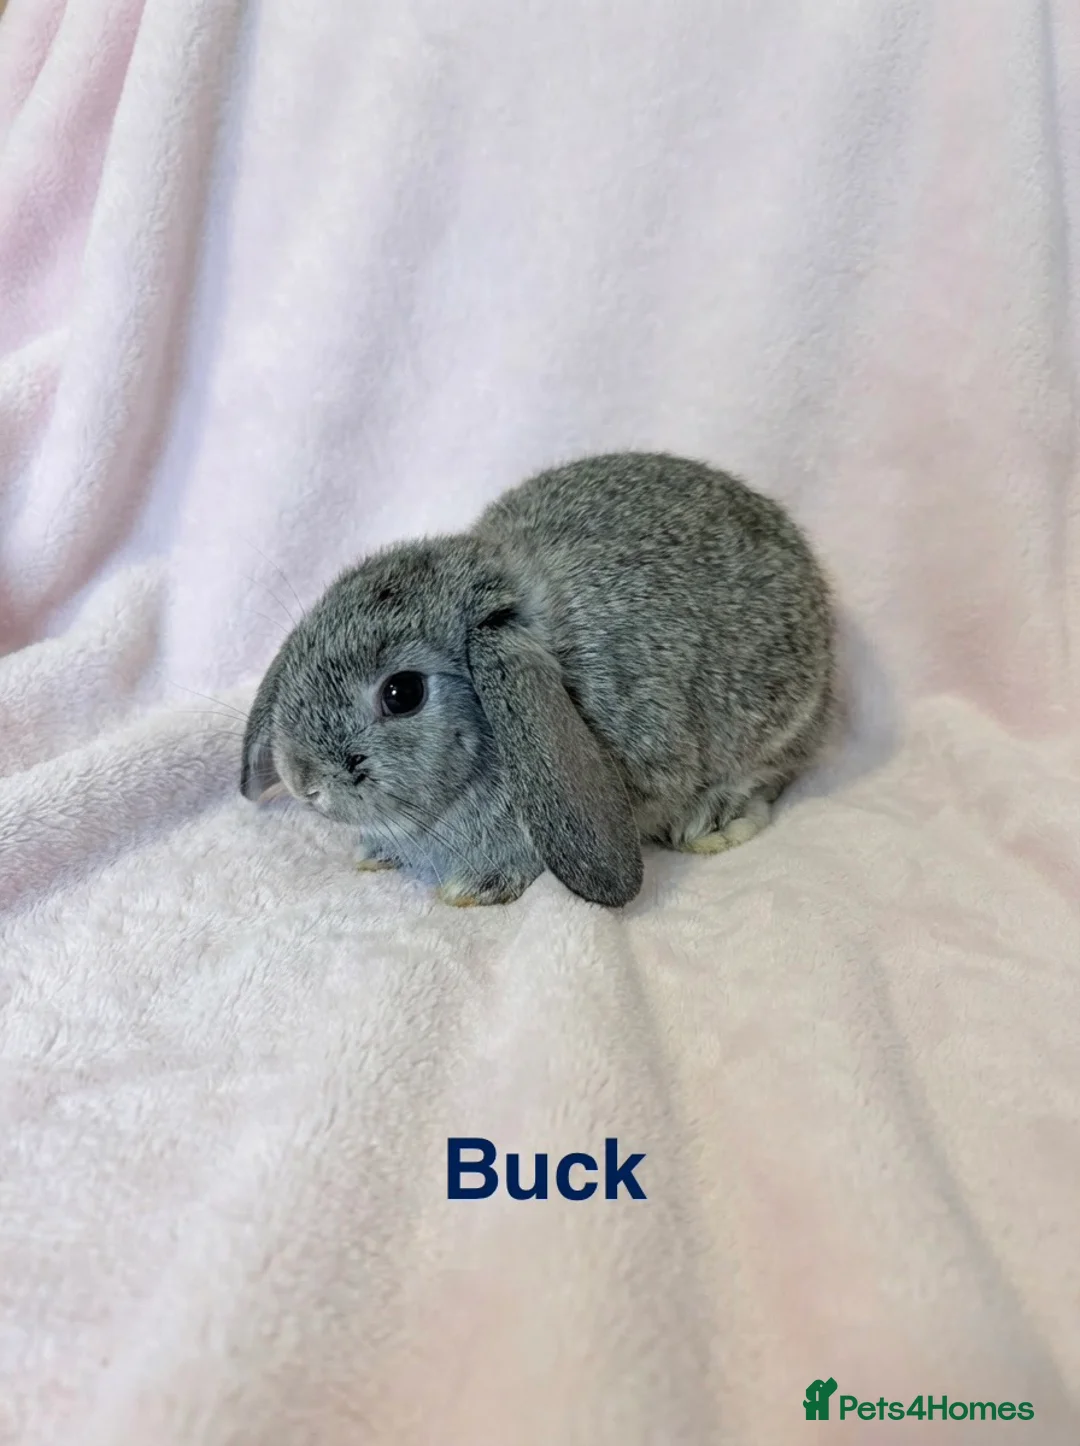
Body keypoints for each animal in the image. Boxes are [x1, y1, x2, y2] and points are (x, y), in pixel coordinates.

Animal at [240, 452, 836, 908]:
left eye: (401, 693)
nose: (303, 783)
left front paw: (474, 888)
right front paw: (374, 854)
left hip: (781, 722)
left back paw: (713, 820)